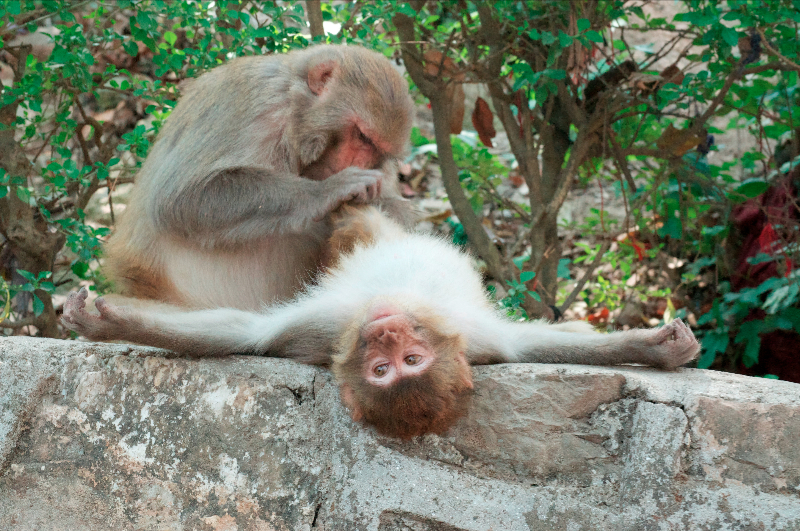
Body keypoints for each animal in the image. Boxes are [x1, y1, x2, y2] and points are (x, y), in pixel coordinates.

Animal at [63, 205, 700, 439]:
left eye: (407, 364)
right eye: (383, 368)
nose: (388, 331)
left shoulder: (475, 340)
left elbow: (530, 346)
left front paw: (652, 348)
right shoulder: (320, 332)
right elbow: (244, 333)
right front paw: (102, 322)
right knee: (353, 222)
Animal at [104, 44, 415, 311]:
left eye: (378, 150)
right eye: (362, 136)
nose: (359, 163)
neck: (291, 109)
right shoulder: (256, 103)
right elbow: (180, 199)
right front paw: (330, 190)